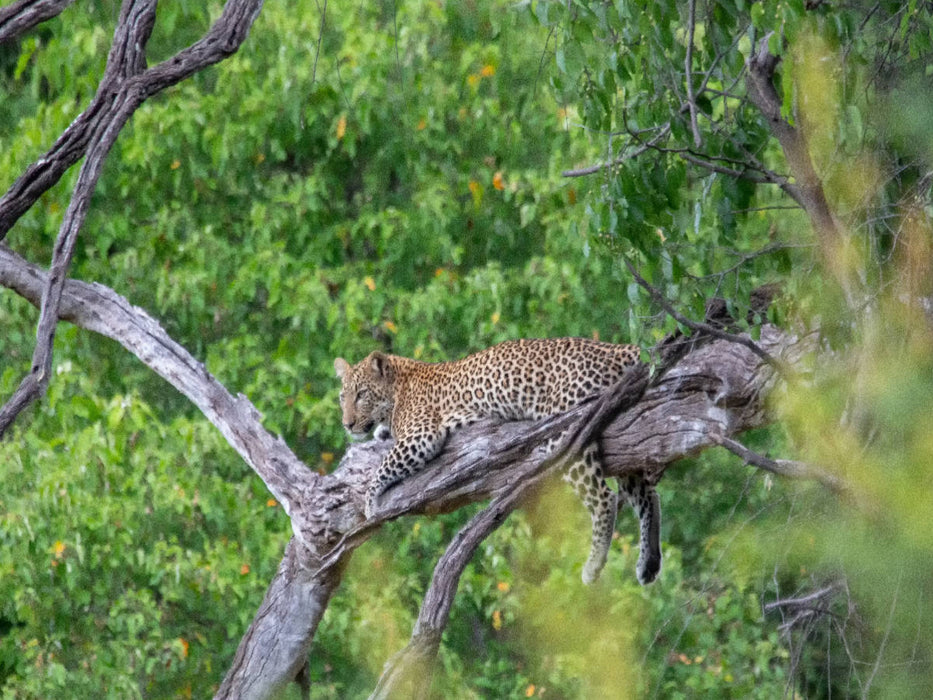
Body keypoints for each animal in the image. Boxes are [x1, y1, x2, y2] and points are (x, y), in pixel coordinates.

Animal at [334, 337, 662, 585]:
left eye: (361, 394)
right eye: (342, 397)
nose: (347, 424)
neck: (398, 385)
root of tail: (615, 348)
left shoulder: (421, 435)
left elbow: (383, 467)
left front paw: (370, 502)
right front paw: (379, 434)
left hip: (570, 430)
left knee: (604, 497)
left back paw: (593, 565)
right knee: (647, 495)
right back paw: (649, 562)